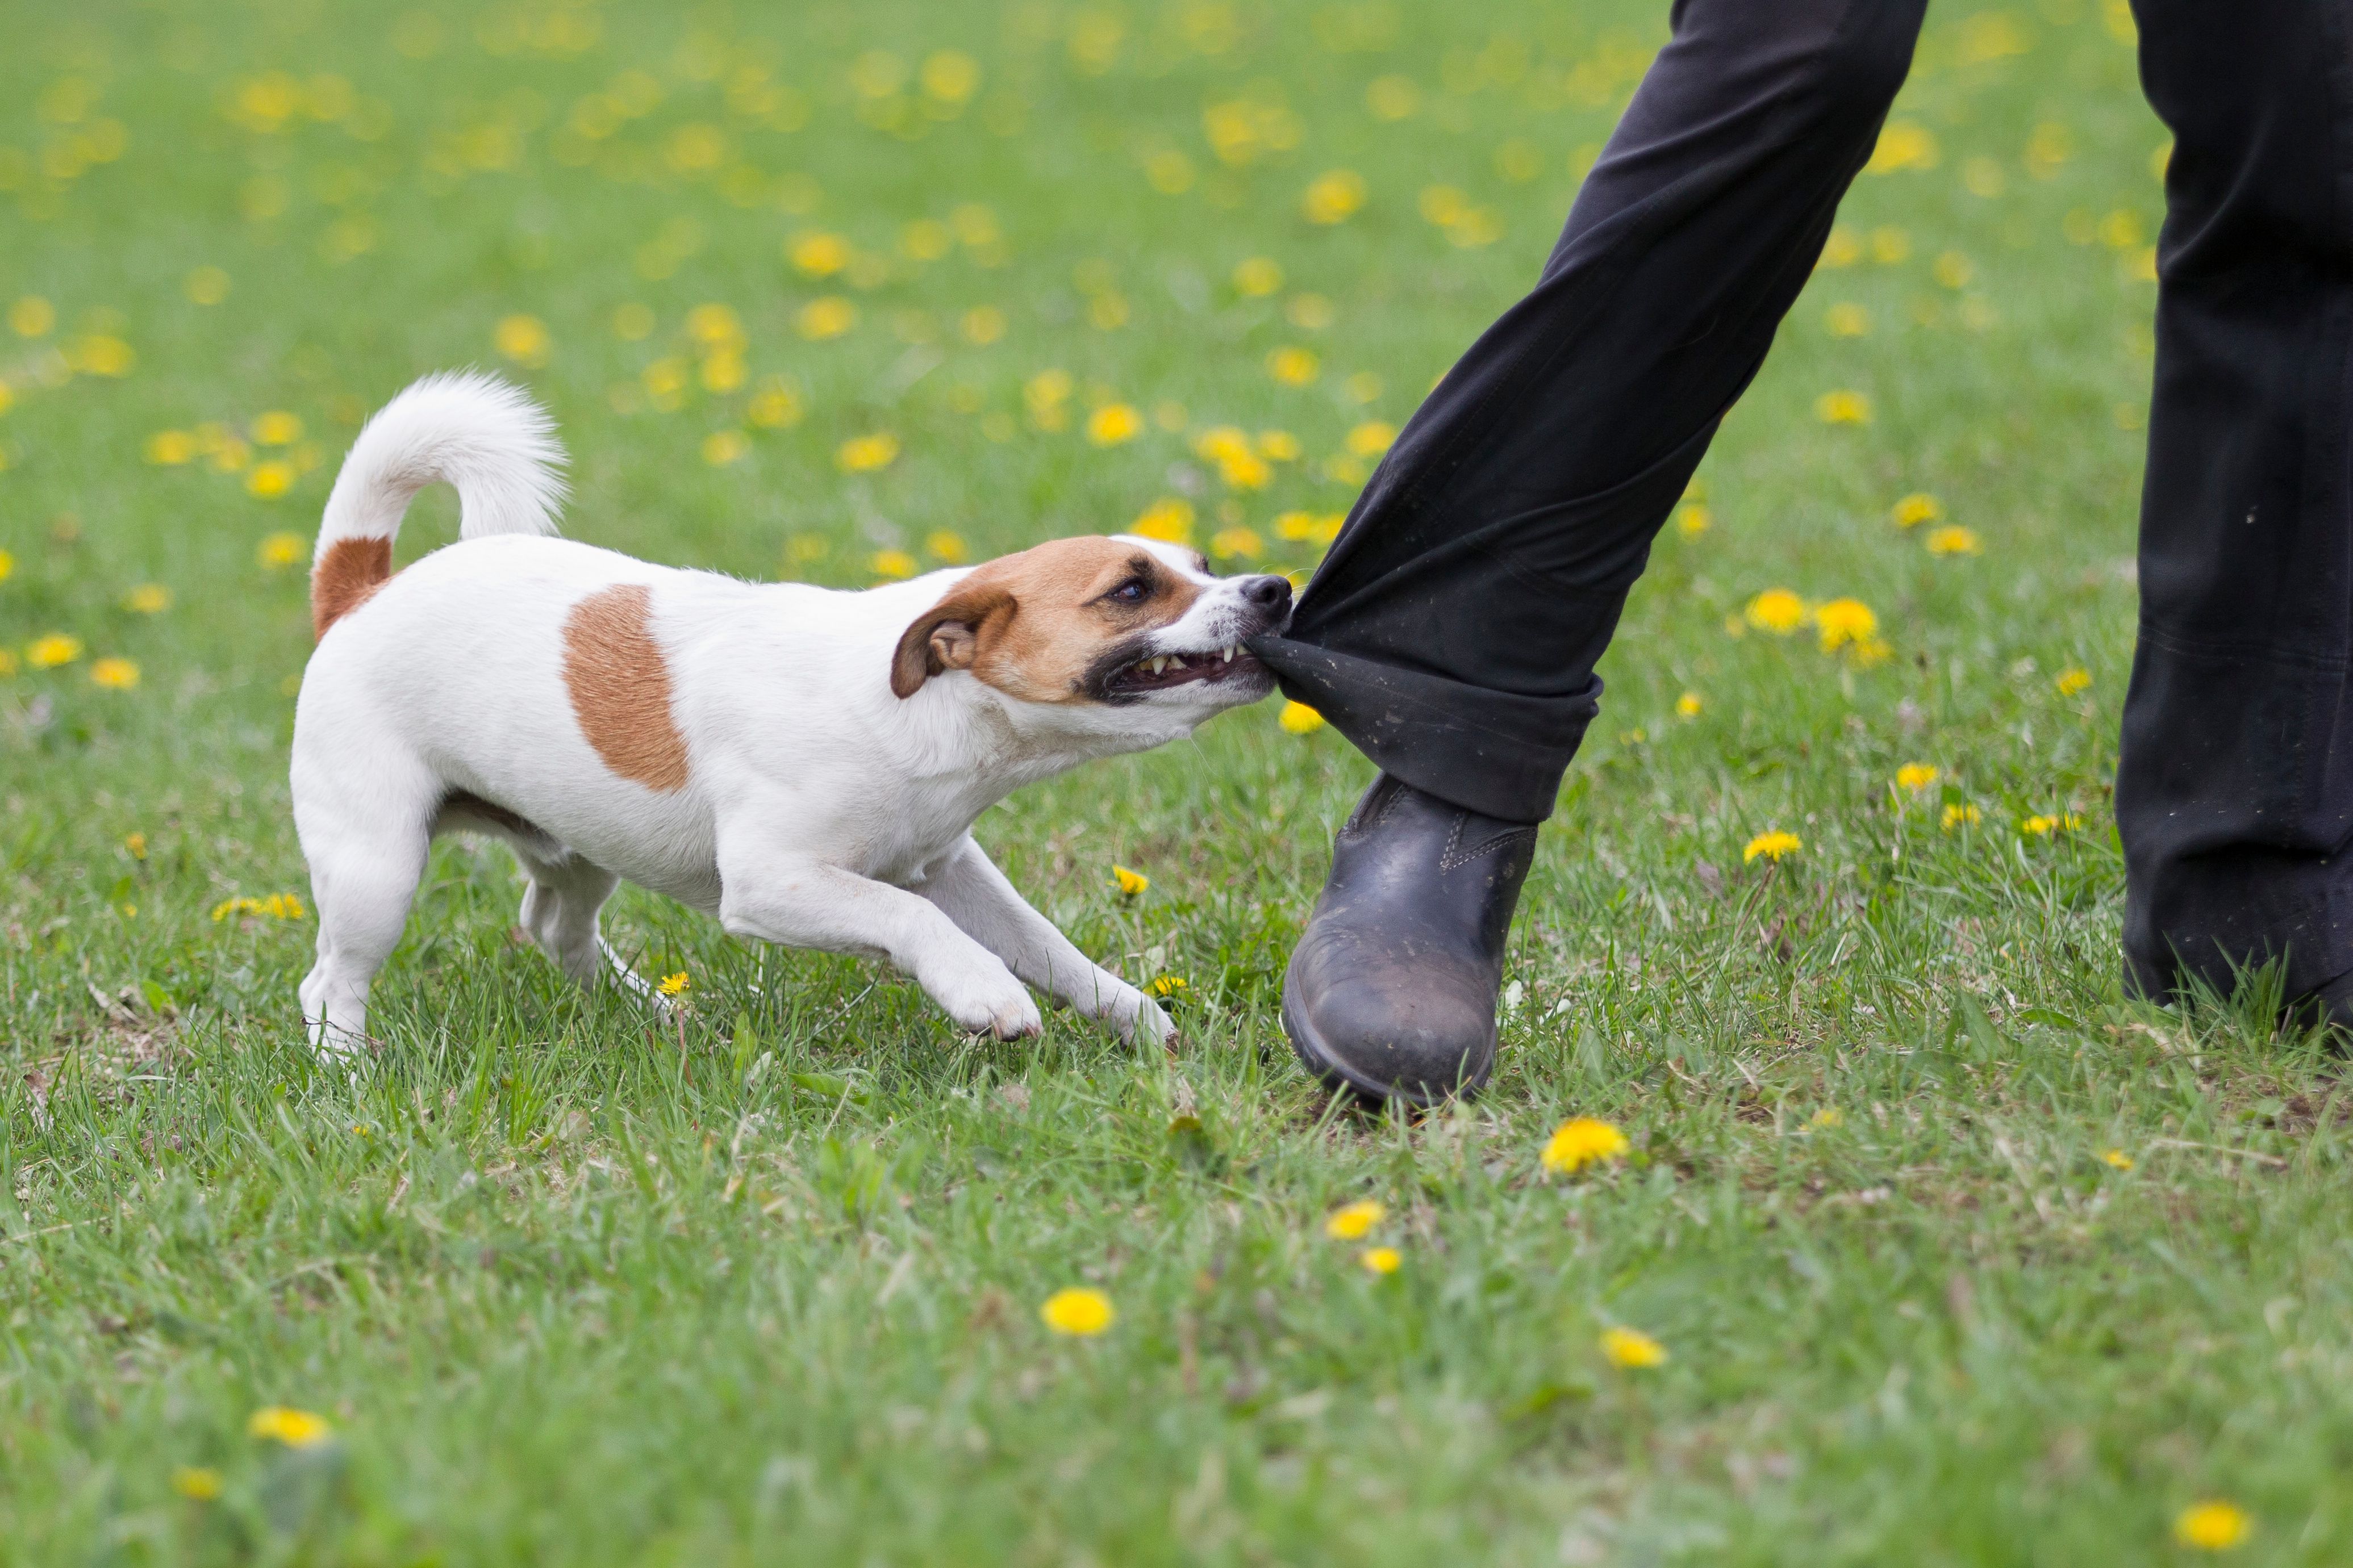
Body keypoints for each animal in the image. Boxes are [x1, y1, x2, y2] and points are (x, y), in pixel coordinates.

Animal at [289, 374, 1308, 1053]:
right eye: (1131, 589)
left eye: (1202, 564)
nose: (1274, 590)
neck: (919, 712)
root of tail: (361, 592)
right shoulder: (775, 882)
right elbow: (908, 920)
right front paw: (981, 992)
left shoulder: (951, 869)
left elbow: (1047, 946)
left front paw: (1131, 1015)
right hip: (377, 869)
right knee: (328, 980)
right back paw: (349, 1075)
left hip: (578, 847)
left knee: (553, 928)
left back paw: (649, 1013)